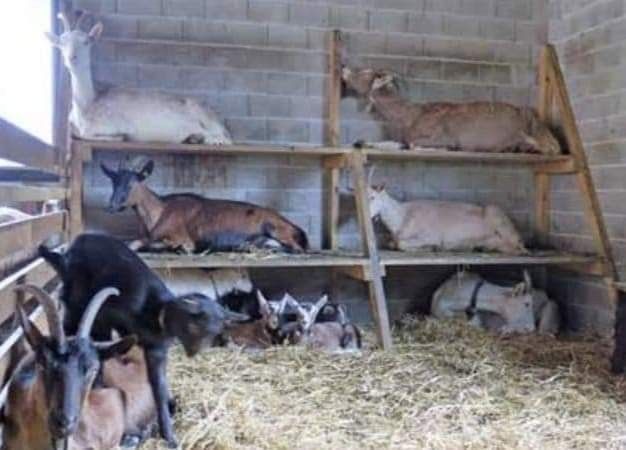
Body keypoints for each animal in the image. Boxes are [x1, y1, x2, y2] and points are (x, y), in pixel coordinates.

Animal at [37, 234, 249, 448]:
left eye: (214, 332)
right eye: (196, 327)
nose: (195, 352)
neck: (156, 313)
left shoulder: (156, 350)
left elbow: (159, 387)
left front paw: (168, 432)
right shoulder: (107, 316)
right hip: (76, 300)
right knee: (70, 323)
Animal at [100, 158, 310, 255]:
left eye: (131, 184)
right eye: (113, 182)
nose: (111, 206)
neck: (159, 213)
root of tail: (297, 228)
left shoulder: (182, 238)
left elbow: (153, 245)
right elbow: (133, 243)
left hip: (274, 228)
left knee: (296, 249)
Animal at [342, 66, 560, 155]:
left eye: (365, 72)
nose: (344, 69)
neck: (409, 117)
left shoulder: (441, 136)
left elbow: (414, 144)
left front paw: (446, 149)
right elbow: (390, 143)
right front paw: (361, 142)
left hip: (538, 133)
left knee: (552, 148)